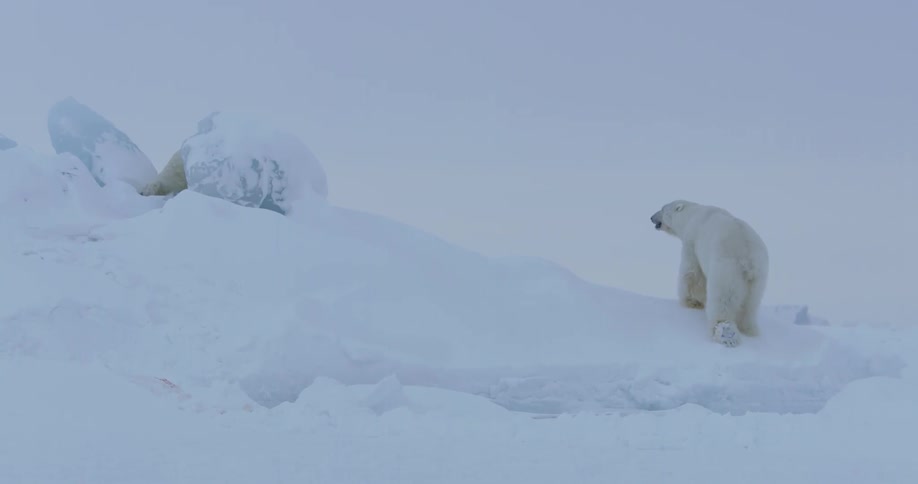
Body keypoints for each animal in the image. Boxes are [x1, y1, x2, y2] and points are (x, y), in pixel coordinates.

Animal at [650, 200, 769, 347]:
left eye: (662, 209)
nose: (651, 217)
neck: (692, 214)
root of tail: (748, 260)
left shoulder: (692, 242)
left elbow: (692, 273)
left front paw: (692, 302)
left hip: (727, 271)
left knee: (723, 300)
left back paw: (725, 334)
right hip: (758, 277)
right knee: (751, 304)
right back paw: (749, 330)